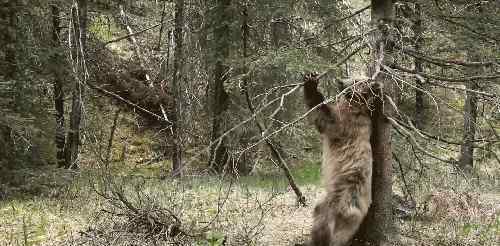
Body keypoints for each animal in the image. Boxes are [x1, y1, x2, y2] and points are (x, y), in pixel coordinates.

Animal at [300, 73, 378, 246]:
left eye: (357, 81)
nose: (340, 81)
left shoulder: (346, 123)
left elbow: (324, 117)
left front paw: (311, 84)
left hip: (342, 194)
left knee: (323, 217)